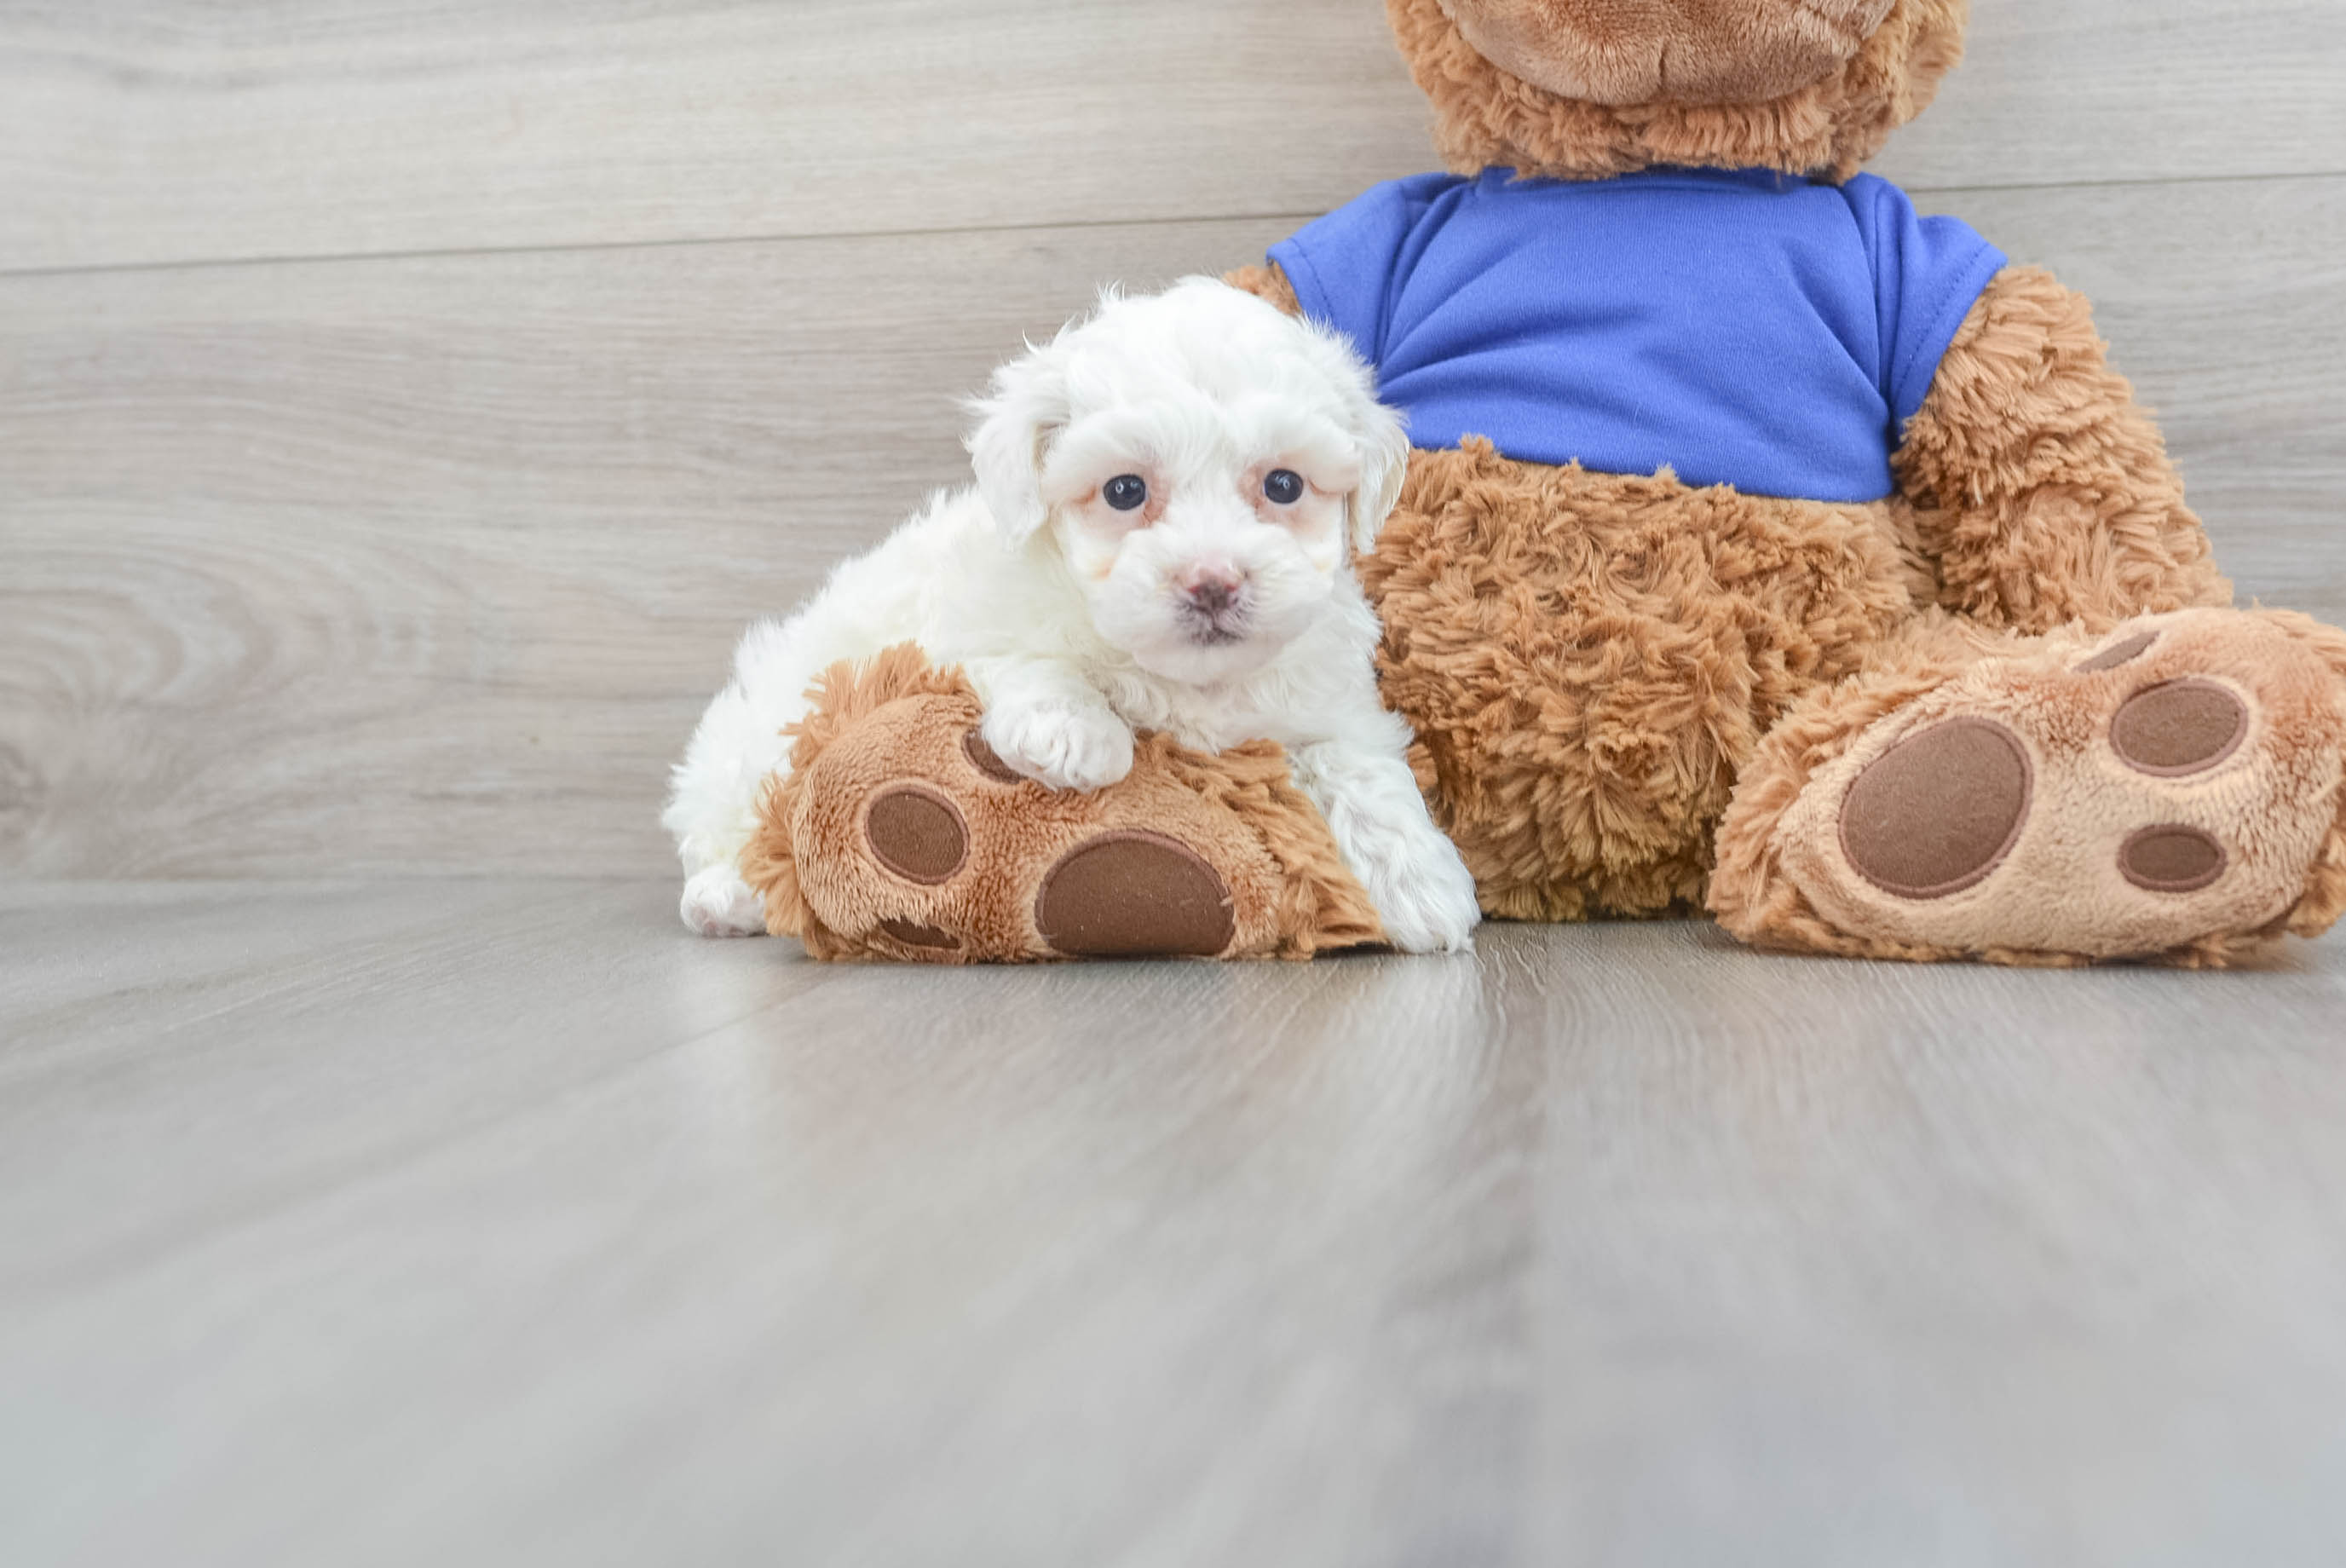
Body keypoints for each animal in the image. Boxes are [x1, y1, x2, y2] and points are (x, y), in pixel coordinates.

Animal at [656, 280, 1482, 957]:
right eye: (1123, 491)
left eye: (1283, 484)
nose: (1211, 582)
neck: (1192, 685)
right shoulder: (963, 622)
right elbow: (1028, 655)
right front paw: (1074, 734)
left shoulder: (1330, 700)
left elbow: (1362, 768)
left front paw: (1420, 883)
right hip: (754, 743)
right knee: (736, 825)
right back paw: (727, 896)